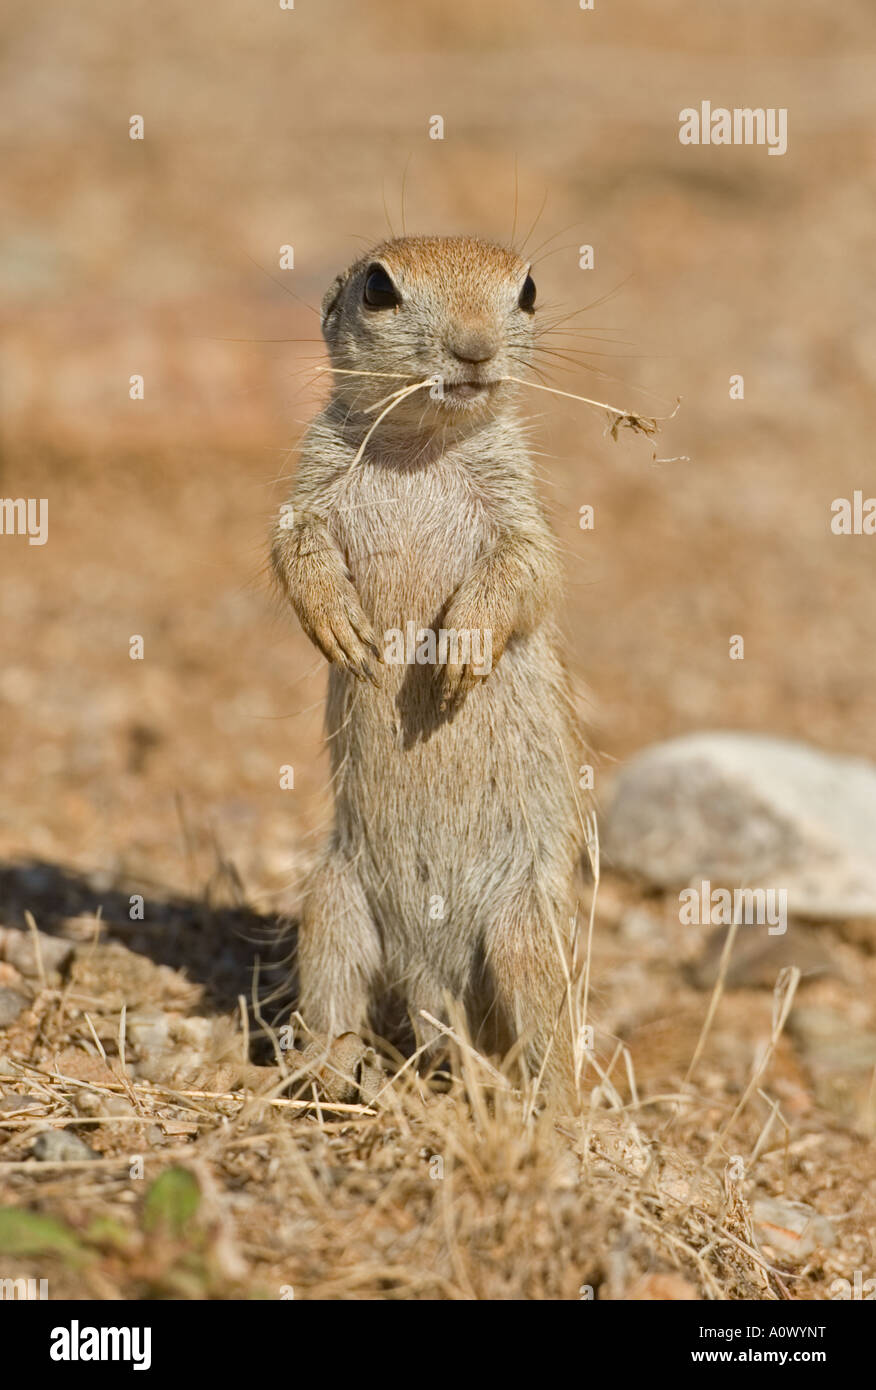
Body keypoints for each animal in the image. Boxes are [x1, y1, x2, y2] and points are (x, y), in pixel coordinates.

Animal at [271, 239, 586, 1100]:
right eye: (378, 288)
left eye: (529, 290)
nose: (475, 348)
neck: (422, 442)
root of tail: (428, 965)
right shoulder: (309, 483)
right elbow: (293, 547)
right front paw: (341, 630)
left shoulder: (519, 504)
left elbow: (527, 571)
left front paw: (460, 649)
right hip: (332, 902)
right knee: (334, 992)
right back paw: (322, 1073)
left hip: (524, 933)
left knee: (548, 1033)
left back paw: (559, 1110)